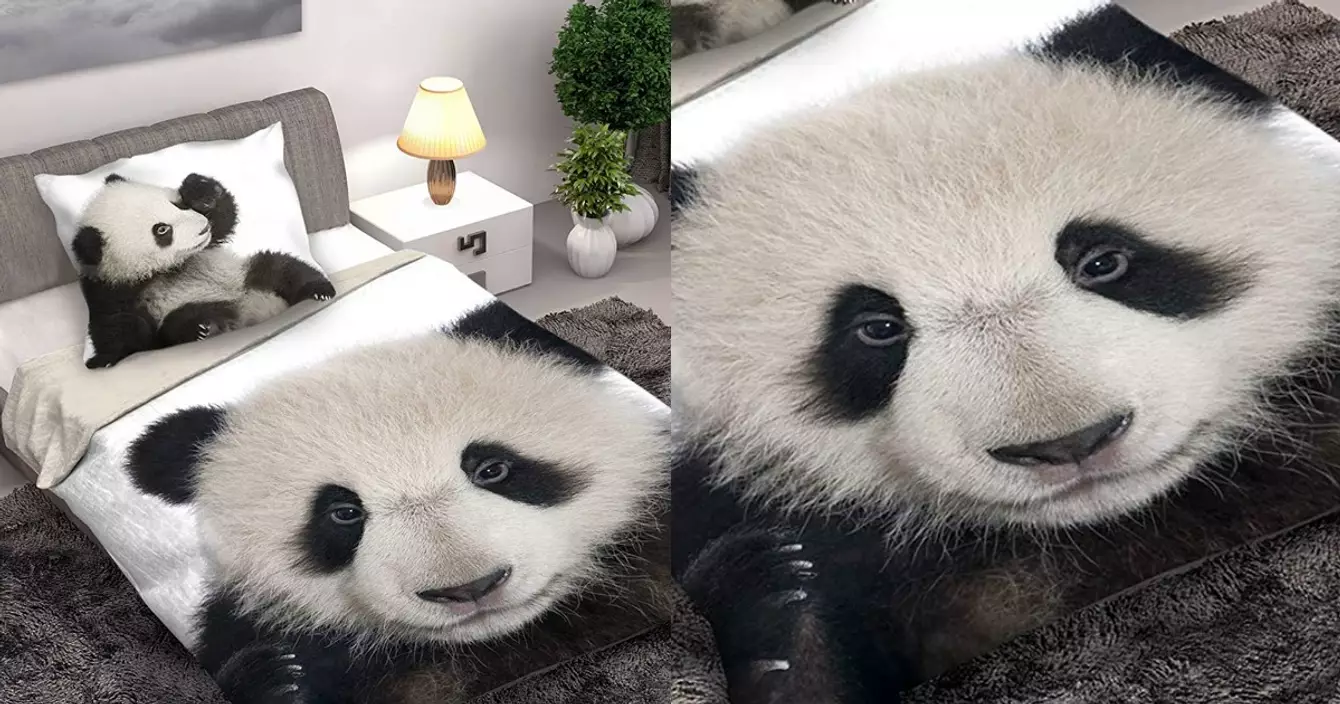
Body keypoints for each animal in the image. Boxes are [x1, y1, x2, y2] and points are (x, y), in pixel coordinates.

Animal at [72, 172, 336, 369]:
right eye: (161, 230)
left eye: (177, 204)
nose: (202, 227)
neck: (162, 269)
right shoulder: (111, 291)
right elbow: (131, 335)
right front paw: (104, 359)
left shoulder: (207, 246)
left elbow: (223, 218)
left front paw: (200, 190)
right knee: (176, 325)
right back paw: (201, 326)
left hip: (245, 276)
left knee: (282, 268)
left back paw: (318, 289)